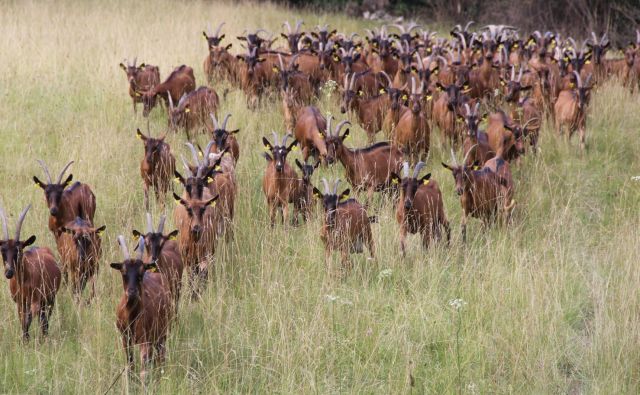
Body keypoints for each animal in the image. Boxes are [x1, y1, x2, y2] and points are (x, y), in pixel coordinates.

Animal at [0, 206, 61, 342]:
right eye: (2, 251)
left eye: (18, 250)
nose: (9, 272)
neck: (24, 280)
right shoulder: (20, 303)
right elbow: (23, 322)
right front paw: (25, 340)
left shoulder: (35, 302)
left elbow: (27, 321)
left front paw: (26, 340)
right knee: (42, 320)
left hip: (50, 299)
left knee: (44, 321)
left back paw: (44, 337)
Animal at [111, 237, 172, 382]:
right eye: (123, 272)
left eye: (141, 272)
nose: (132, 292)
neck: (131, 316)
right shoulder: (125, 338)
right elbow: (130, 364)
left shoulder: (145, 339)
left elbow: (144, 370)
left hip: (162, 333)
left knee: (161, 356)